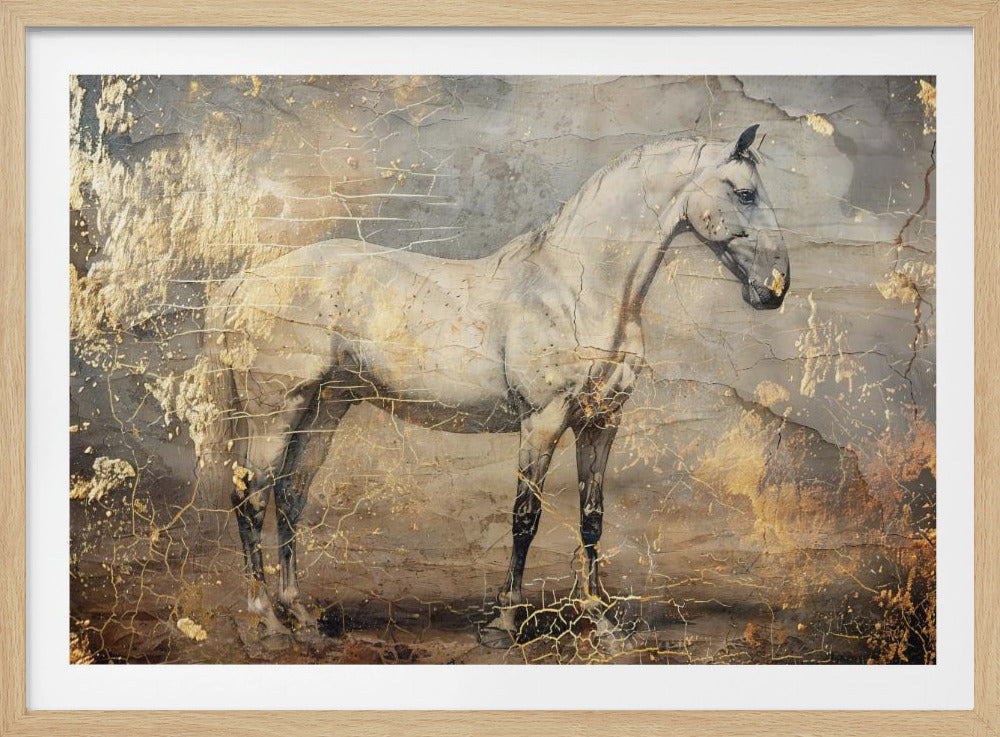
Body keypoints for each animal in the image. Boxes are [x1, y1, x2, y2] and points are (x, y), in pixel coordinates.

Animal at [197, 124, 790, 644]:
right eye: (744, 192)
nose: (776, 288)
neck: (577, 289)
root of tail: (243, 282)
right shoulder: (543, 421)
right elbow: (525, 518)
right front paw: (506, 622)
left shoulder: (601, 423)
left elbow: (592, 519)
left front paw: (600, 617)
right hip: (275, 410)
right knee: (251, 497)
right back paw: (267, 619)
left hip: (325, 409)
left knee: (290, 496)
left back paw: (300, 613)